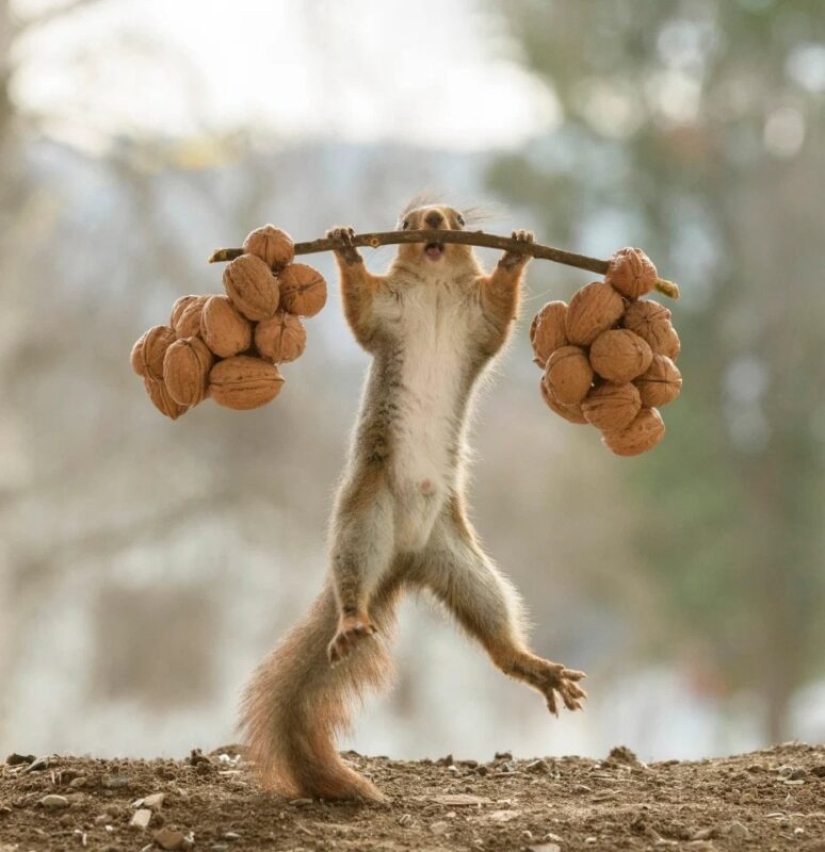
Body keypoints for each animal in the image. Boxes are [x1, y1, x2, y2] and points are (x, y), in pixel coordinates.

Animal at [239, 200, 587, 801]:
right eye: (406, 218)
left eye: (455, 216)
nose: (432, 221)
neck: (434, 287)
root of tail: (402, 559)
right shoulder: (385, 314)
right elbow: (360, 306)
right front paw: (346, 246)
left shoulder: (479, 321)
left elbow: (500, 311)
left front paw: (516, 251)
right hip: (364, 516)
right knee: (353, 579)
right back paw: (351, 620)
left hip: (463, 564)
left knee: (494, 626)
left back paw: (530, 664)